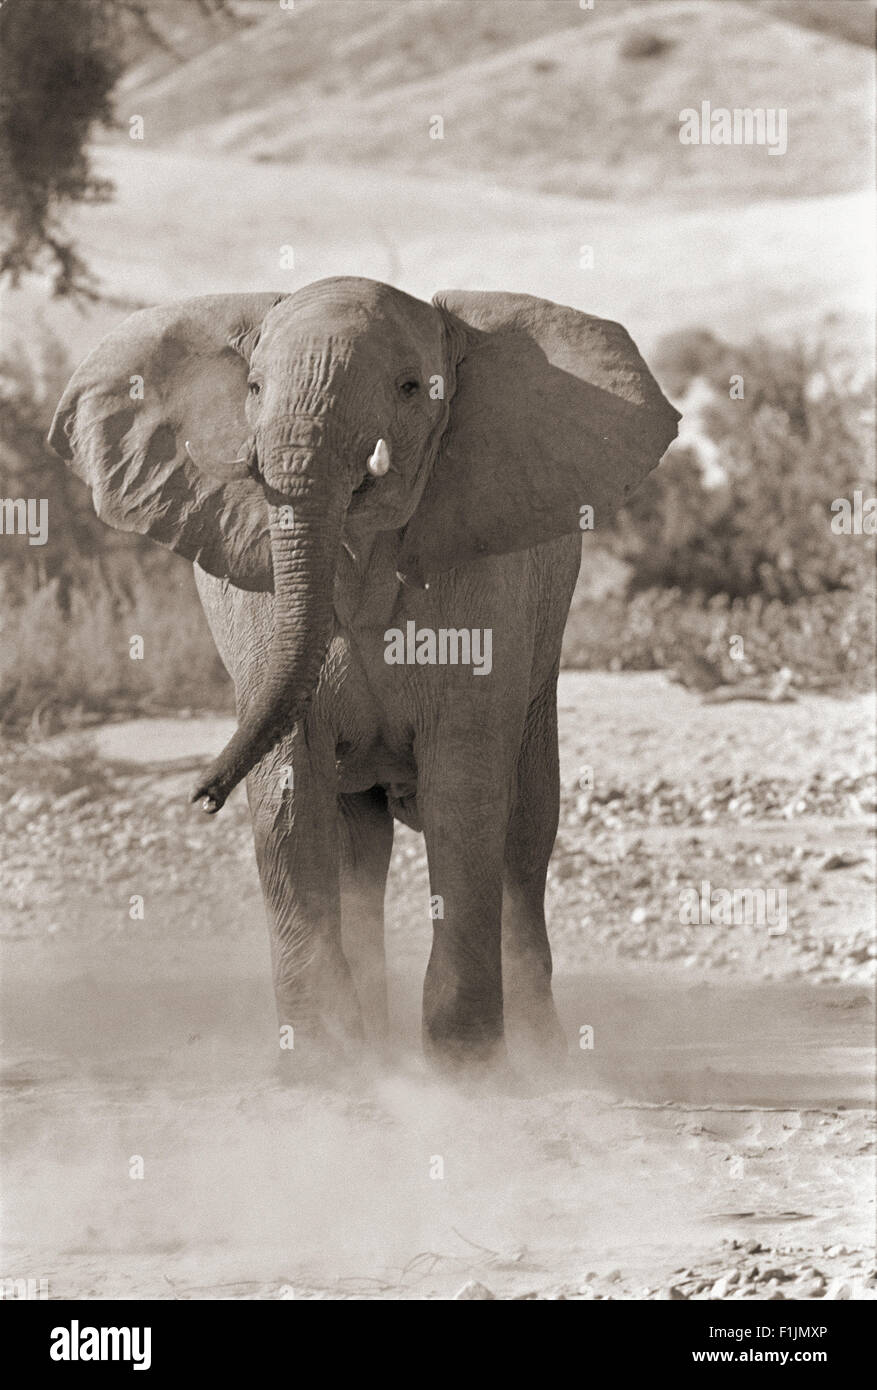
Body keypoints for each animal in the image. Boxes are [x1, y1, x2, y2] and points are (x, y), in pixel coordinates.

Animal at [49, 277, 679, 1074]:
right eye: (252, 388)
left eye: (410, 389)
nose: (200, 794)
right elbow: (290, 797)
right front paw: (321, 1064)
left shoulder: (484, 572)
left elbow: (464, 795)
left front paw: (465, 1071)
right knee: (359, 849)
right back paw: (374, 1047)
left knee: (527, 831)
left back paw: (543, 1059)